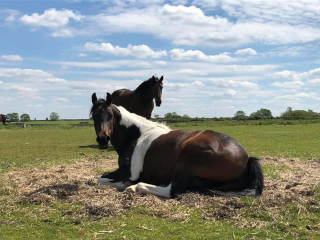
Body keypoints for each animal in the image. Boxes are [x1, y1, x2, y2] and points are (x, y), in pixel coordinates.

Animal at [90, 92, 264, 199]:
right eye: (93, 115)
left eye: (110, 115)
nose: (103, 139)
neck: (136, 135)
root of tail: (247, 157)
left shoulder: (128, 172)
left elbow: (101, 179)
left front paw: (125, 184)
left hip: (187, 158)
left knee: (173, 190)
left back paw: (136, 187)